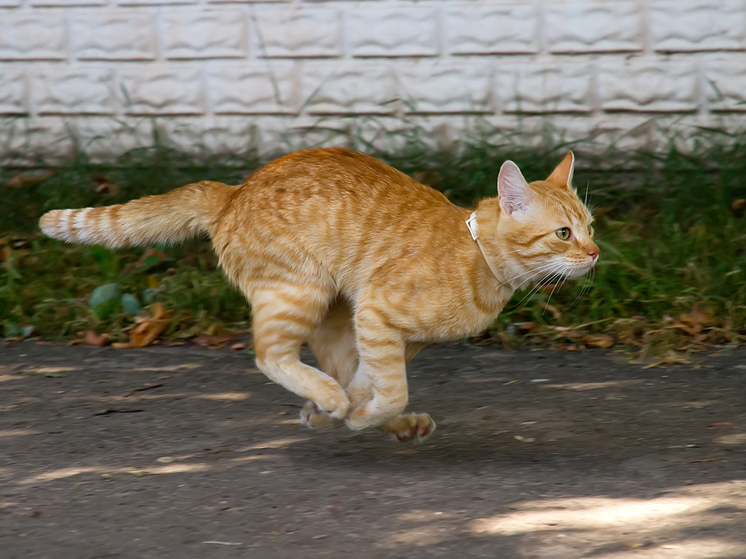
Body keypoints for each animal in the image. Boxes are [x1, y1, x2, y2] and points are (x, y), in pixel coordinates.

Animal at [42, 148, 600, 442]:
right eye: (563, 234)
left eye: (590, 228)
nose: (596, 253)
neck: (478, 258)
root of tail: (234, 191)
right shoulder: (377, 314)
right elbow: (387, 389)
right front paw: (356, 414)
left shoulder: (393, 338)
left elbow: (370, 382)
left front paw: (353, 413)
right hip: (299, 293)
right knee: (270, 354)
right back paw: (334, 402)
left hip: (334, 314)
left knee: (332, 367)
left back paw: (360, 415)